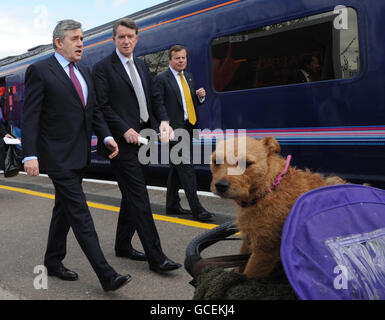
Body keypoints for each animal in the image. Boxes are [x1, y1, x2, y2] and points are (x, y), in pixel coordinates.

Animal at [210, 136, 344, 278]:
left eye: (246, 163)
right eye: (215, 161)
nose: (220, 185)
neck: (268, 189)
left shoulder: (264, 251)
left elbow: (248, 275)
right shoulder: (248, 240)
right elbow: (239, 266)